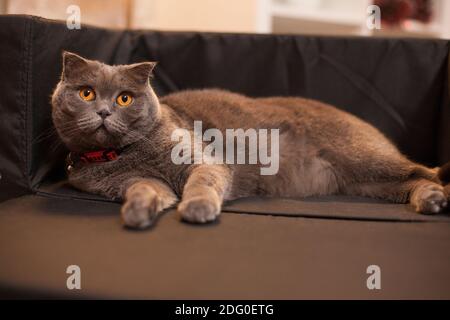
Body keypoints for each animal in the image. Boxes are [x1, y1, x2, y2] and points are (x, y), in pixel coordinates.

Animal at [51, 51, 450, 229]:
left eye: (124, 99)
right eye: (86, 93)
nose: (104, 111)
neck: (124, 155)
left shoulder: (202, 161)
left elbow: (201, 182)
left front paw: (197, 208)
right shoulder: (136, 181)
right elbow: (144, 189)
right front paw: (137, 211)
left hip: (366, 158)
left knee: (426, 170)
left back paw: (439, 195)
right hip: (366, 183)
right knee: (414, 182)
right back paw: (430, 201)